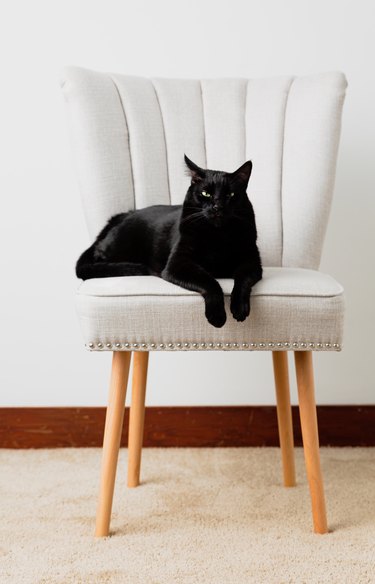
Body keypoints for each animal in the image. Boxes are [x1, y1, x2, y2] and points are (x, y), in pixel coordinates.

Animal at [75, 155, 264, 328]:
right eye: (206, 193)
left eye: (230, 194)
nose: (217, 207)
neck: (218, 234)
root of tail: (120, 216)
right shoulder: (177, 264)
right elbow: (210, 281)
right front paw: (217, 316)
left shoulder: (251, 262)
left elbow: (243, 280)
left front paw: (239, 308)